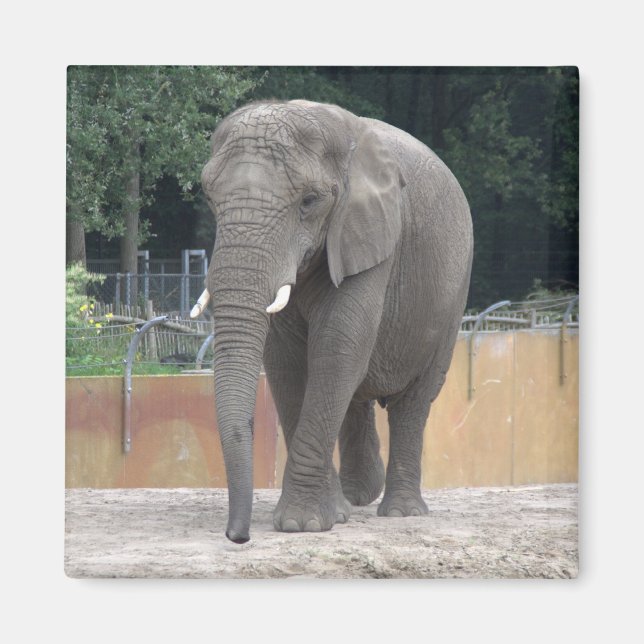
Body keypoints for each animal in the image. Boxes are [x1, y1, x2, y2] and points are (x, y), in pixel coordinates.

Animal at [191, 99, 473, 543]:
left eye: (309, 201)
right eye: (208, 196)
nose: (238, 536)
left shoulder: (371, 235)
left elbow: (338, 346)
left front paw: (300, 524)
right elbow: (287, 362)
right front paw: (329, 516)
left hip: (452, 295)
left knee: (413, 400)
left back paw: (401, 511)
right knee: (356, 394)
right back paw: (357, 497)